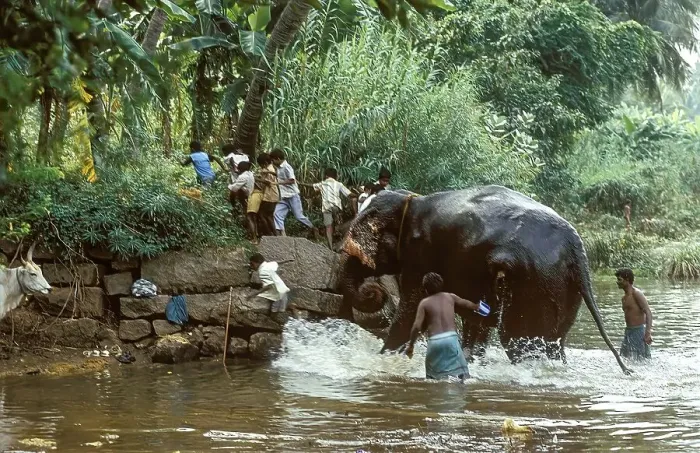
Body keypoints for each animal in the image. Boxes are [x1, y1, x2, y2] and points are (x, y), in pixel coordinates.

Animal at [337, 185, 630, 374]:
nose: (373, 291)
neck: (410, 201)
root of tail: (576, 247)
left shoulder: (420, 254)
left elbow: (411, 308)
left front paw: (384, 358)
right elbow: (473, 318)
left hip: (537, 283)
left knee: (518, 341)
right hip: (564, 288)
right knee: (551, 343)